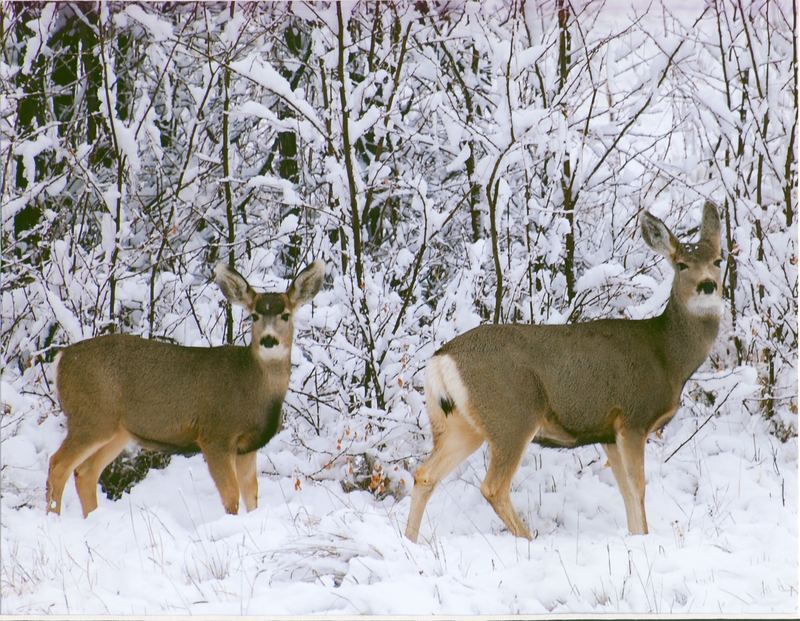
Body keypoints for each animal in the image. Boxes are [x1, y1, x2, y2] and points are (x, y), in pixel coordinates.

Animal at [46, 259, 325, 517]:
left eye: (286, 314)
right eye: (254, 315)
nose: (268, 340)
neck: (252, 387)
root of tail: (61, 359)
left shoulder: (247, 446)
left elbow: (252, 495)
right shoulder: (215, 435)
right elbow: (232, 496)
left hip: (117, 429)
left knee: (85, 472)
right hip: (91, 417)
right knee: (58, 464)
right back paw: (54, 518)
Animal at [405, 201, 723, 542]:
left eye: (718, 260)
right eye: (681, 265)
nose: (708, 285)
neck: (668, 356)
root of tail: (439, 361)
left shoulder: (608, 431)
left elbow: (625, 492)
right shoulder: (633, 418)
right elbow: (638, 490)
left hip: (459, 424)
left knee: (425, 474)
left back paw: (409, 541)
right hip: (512, 415)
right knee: (493, 487)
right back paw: (529, 539)